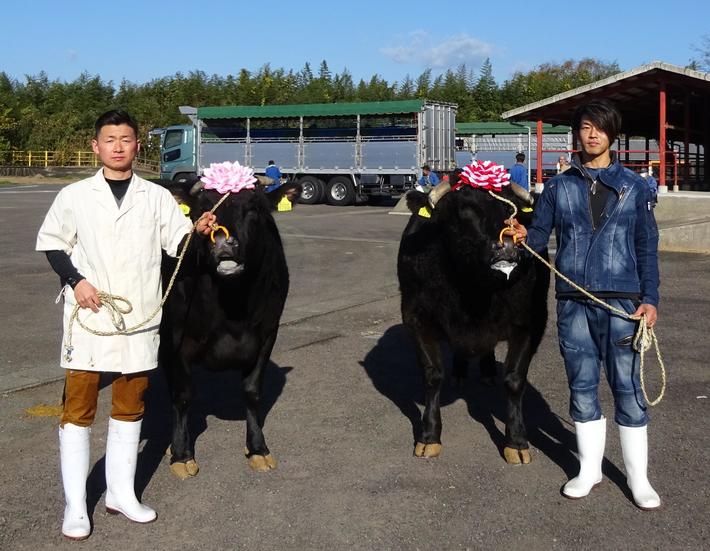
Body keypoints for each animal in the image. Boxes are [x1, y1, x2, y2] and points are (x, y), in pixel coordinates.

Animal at [160, 181, 302, 478]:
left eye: (254, 208)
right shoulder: (176, 336)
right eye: (202, 209)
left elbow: (252, 391)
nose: (223, 242)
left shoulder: (267, 334)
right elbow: (182, 394)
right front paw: (181, 455)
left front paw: (258, 449)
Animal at [400, 183, 552, 464]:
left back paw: (488, 372)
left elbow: (515, 379)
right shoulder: (415, 318)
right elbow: (432, 375)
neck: (475, 291)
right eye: (460, 213)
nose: (505, 246)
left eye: (510, 209)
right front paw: (429, 437)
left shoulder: (532, 321)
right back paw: (460, 373)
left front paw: (516, 442)